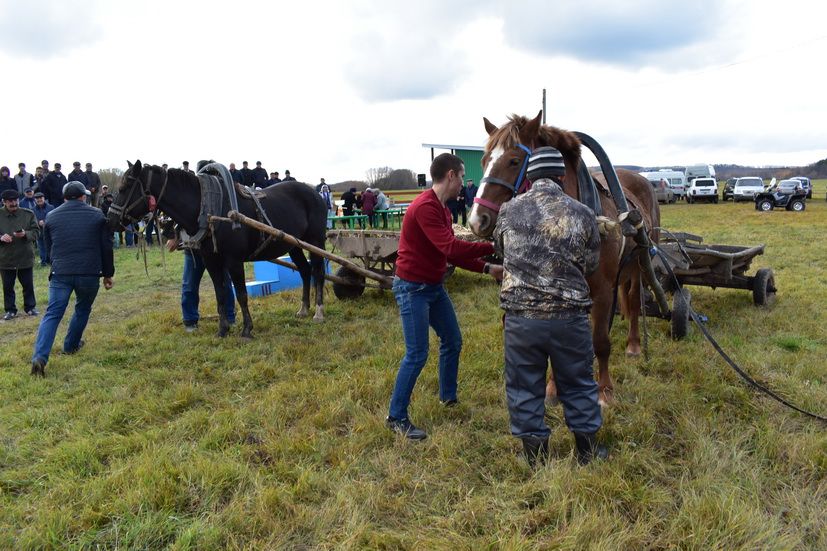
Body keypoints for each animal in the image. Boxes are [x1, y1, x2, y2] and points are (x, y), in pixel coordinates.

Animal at [472, 112, 660, 406]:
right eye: (484, 161)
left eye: (514, 161)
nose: (477, 220)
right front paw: (552, 388)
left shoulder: (602, 289)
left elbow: (600, 341)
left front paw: (604, 391)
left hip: (640, 263)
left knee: (632, 300)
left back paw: (633, 344)